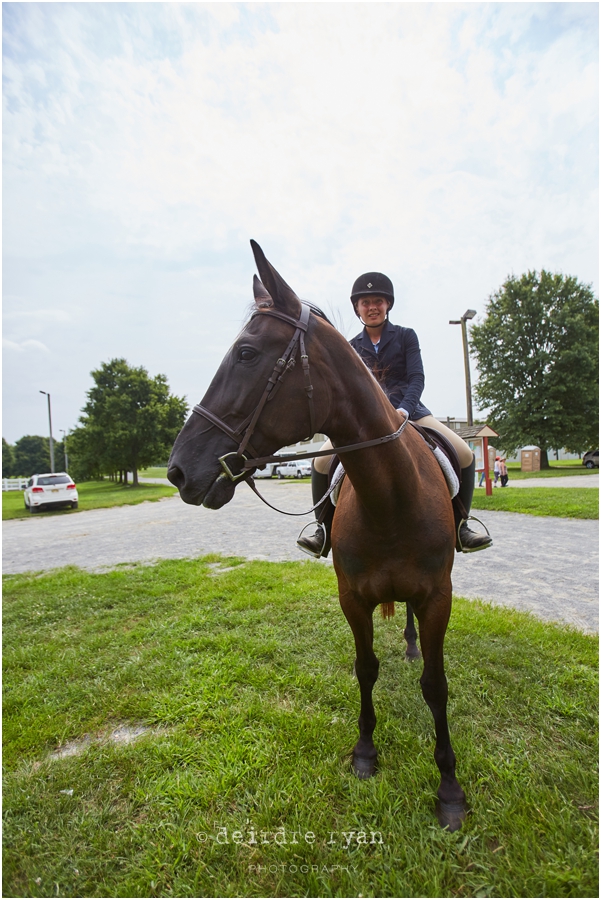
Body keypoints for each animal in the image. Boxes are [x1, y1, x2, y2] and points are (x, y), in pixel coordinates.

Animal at [166, 239, 466, 828]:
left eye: (246, 354)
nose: (179, 471)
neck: (390, 499)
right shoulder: (352, 597)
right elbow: (366, 669)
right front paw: (366, 752)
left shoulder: (437, 596)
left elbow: (436, 685)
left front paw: (448, 787)